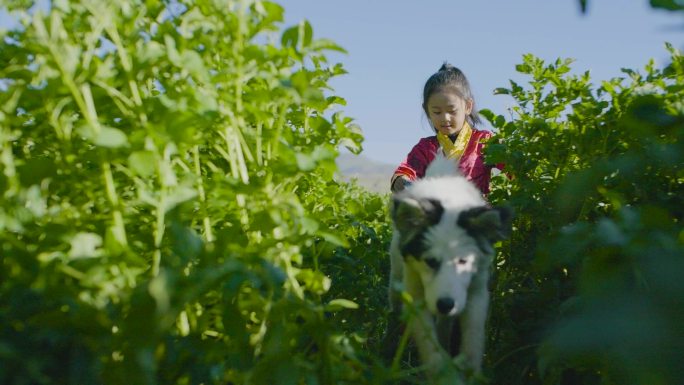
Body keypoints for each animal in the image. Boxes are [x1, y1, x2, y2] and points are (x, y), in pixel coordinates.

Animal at [388, 154, 510, 376]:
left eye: (464, 261)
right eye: (429, 261)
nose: (445, 304)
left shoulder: (477, 290)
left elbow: (473, 338)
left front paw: (468, 370)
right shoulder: (416, 290)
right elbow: (428, 343)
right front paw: (441, 371)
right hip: (396, 278)